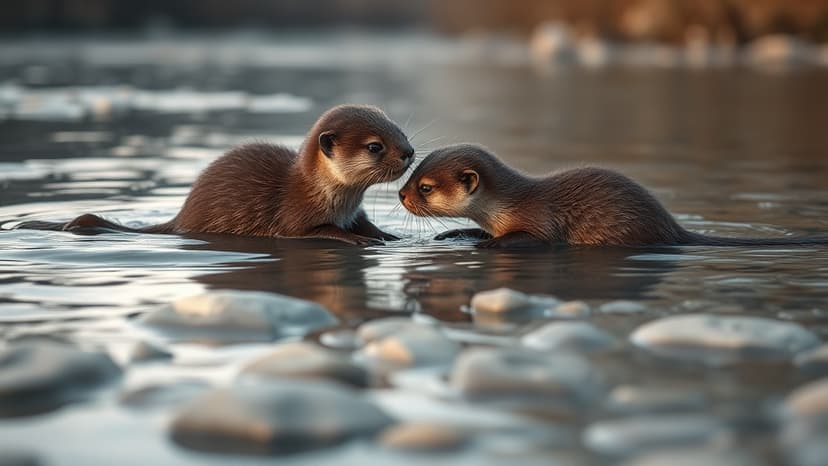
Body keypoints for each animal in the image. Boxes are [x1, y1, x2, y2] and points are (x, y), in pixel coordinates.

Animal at [18, 105, 414, 245]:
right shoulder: (295, 218)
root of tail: (182, 216)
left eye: (401, 131)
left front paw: (389, 236)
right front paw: (358, 241)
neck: (330, 197)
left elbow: (368, 225)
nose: (409, 153)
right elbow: (315, 232)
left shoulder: (354, 212)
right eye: (375, 146)